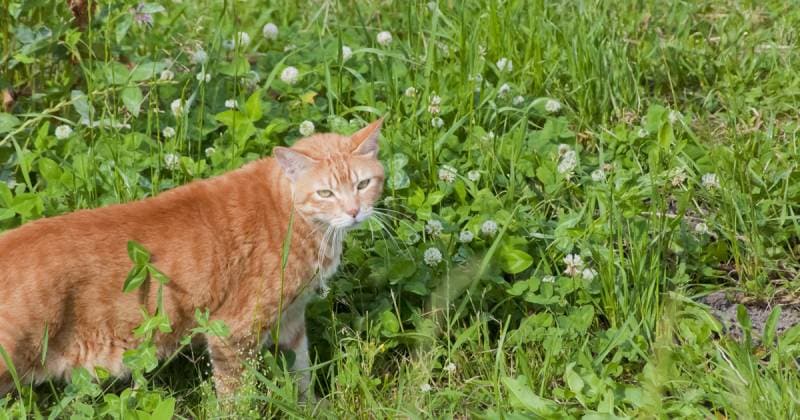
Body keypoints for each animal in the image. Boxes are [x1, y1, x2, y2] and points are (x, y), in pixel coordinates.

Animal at [0, 117, 384, 398]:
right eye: (325, 193)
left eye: (363, 184)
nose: (354, 212)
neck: (297, 218)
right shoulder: (233, 333)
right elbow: (236, 400)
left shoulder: (291, 319)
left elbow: (302, 372)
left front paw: (313, 407)